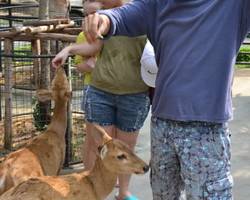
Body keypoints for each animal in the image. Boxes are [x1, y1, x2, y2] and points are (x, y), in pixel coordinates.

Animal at [0, 67, 72, 195]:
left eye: (54, 81)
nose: (60, 68)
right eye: (65, 81)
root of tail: (4, 175)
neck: (56, 131)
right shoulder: (58, 167)